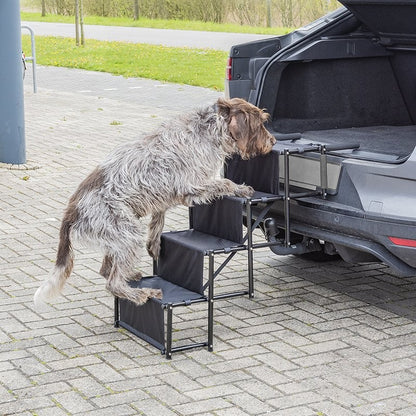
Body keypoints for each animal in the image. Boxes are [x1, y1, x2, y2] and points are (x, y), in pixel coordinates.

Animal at [34, 96, 276, 306]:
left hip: (116, 237)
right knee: (112, 282)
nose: (273, 141)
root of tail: (71, 210)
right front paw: (241, 188)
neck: (208, 130)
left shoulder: (166, 193)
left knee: (105, 270)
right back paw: (141, 294)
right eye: (259, 124)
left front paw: (154, 242)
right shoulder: (192, 186)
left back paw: (131, 276)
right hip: (127, 233)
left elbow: (159, 216)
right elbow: (224, 182)